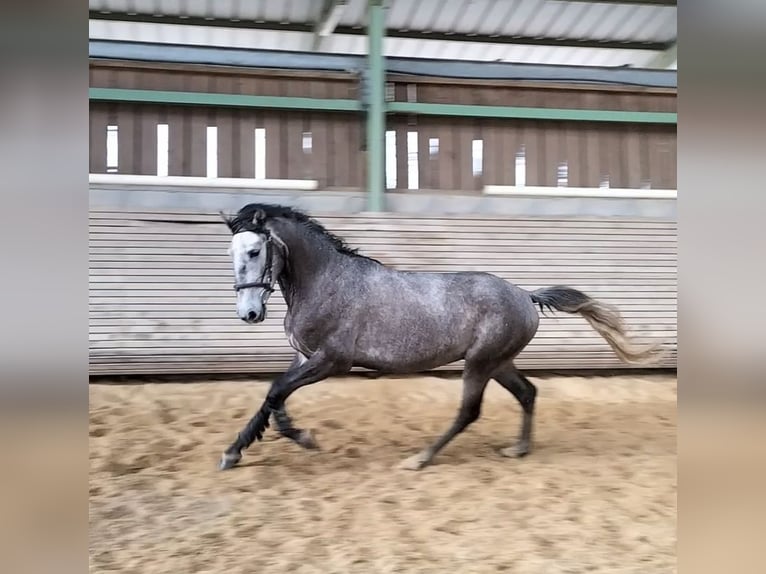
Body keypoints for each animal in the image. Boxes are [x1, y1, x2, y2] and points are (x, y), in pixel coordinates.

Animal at [218, 206, 664, 472]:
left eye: (255, 251)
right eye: (231, 252)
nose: (249, 314)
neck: (326, 281)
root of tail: (524, 295)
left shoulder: (331, 360)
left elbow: (276, 392)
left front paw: (303, 438)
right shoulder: (303, 357)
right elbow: (272, 397)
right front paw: (234, 451)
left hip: (480, 363)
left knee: (469, 412)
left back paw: (419, 458)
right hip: (499, 362)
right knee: (528, 393)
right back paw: (518, 449)